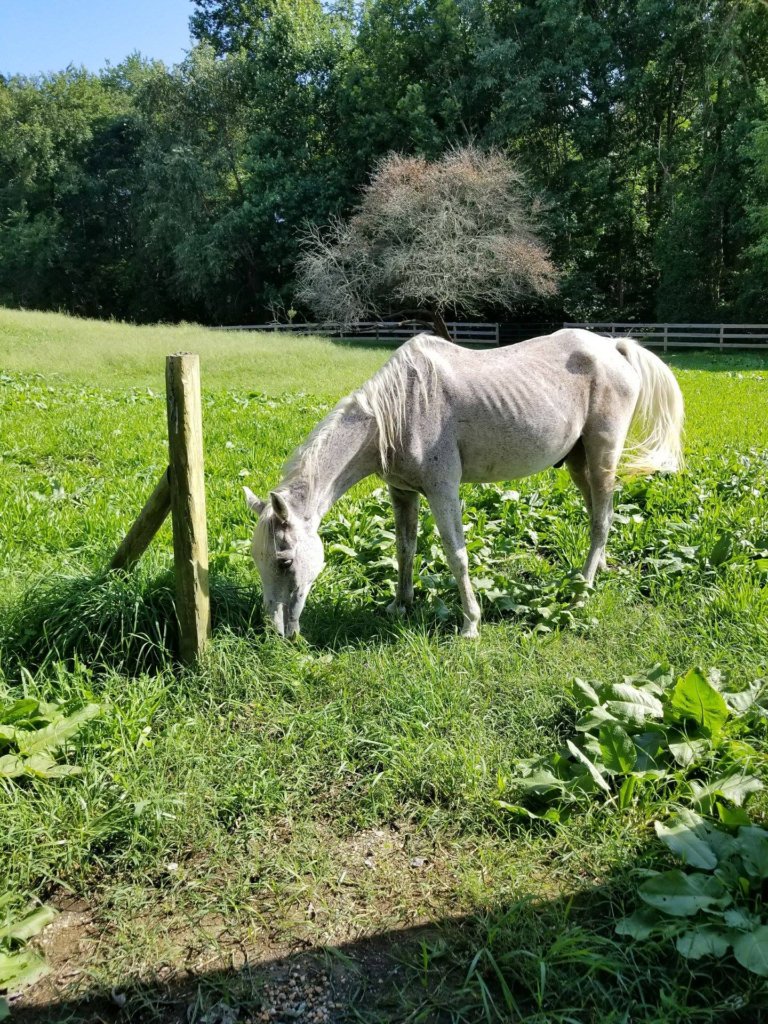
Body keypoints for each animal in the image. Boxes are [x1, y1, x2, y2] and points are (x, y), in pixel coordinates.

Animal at [244, 328, 684, 638]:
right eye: (258, 559)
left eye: (284, 561)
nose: (276, 633)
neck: (400, 410)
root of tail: (614, 347)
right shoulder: (402, 492)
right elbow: (404, 549)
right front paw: (401, 604)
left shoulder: (443, 491)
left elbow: (457, 555)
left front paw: (471, 623)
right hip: (579, 463)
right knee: (598, 512)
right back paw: (595, 570)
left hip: (602, 455)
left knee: (602, 518)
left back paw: (583, 589)